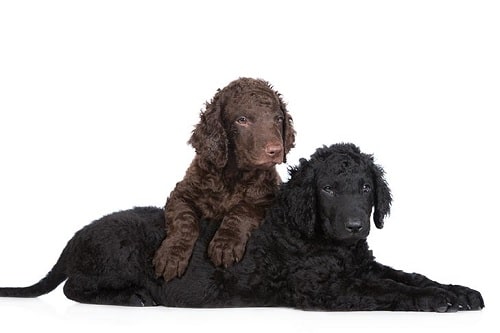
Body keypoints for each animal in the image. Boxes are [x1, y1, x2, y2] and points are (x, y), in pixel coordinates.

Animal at [0, 143, 484, 312]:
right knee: (74, 288)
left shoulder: (360, 266)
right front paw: (437, 300)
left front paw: (459, 291)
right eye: (327, 188)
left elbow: (408, 274)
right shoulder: (326, 290)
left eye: (365, 187)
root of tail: (75, 237)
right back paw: (134, 297)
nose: (353, 227)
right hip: (120, 253)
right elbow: (390, 290)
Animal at [154, 77, 294, 280]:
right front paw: (172, 255)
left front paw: (226, 243)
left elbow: (242, 210)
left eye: (279, 119)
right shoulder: (180, 194)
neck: (233, 177)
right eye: (242, 120)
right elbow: (184, 220)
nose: (276, 150)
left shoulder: (267, 199)